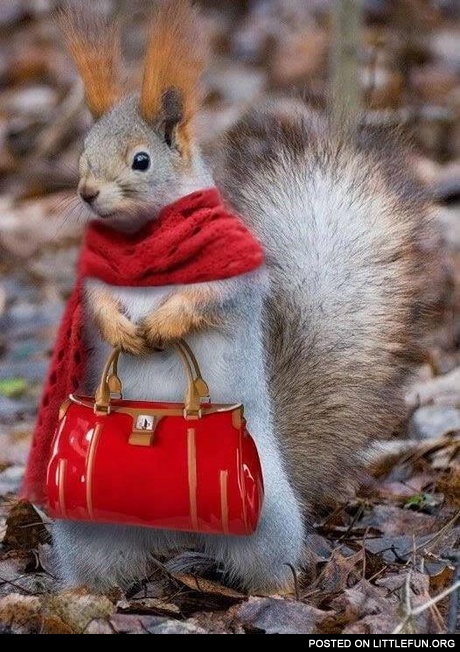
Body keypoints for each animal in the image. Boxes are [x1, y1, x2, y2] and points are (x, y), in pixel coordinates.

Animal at [35, 0, 440, 593]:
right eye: (83, 153)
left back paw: (277, 590)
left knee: (270, 564)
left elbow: (211, 298)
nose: (87, 193)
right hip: (88, 525)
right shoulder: (95, 280)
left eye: (141, 161)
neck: (144, 242)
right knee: (101, 565)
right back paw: (84, 593)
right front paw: (120, 327)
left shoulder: (236, 278)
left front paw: (166, 322)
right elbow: (99, 303)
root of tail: (173, 534)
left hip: (262, 517)